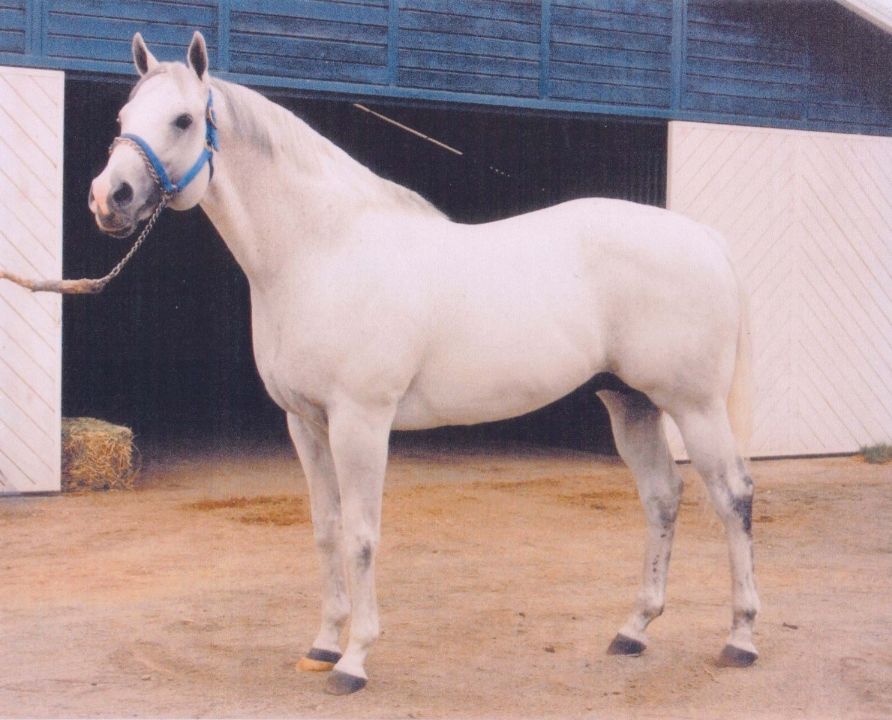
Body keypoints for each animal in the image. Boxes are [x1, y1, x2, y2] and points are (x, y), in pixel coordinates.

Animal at [89, 32, 760, 692]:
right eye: (123, 117)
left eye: (181, 119)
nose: (108, 197)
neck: (321, 250)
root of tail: (705, 239)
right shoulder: (305, 423)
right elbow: (327, 530)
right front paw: (323, 645)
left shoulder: (361, 421)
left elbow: (361, 535)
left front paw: (355, 661)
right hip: (631, 402)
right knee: (662, 497)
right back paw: (634, 630)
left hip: (693, 405)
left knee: (732, 495)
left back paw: (741, 639)